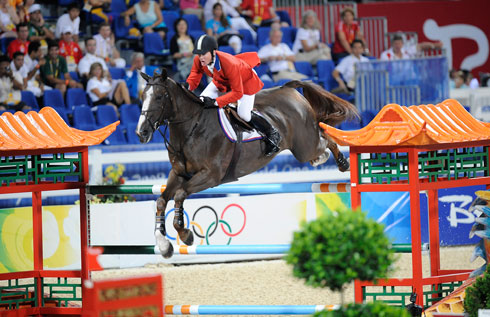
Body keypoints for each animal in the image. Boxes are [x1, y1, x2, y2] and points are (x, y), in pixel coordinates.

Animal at [136, 67, 358, 256]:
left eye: (159, 96)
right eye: (142, 97)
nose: (141, 132)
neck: (192, 128)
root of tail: (287, 88)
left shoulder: (211, 176)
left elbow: (180, 195)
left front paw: (185, 235)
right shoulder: (179, 174)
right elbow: (162, 200)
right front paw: (164, 245)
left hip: (305, 146)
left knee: (325, 137)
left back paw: (342, 162)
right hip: (304, 147)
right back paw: (322, 159)